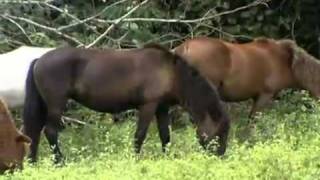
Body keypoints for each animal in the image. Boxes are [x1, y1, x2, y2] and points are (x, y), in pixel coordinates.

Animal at [23, 44, 231, 163]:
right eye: (221, 132)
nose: (221, 157)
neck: (171, 73)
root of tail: (38, 60)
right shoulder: (148, 106)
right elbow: (140, 135)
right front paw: (136, 159)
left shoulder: (161, 108)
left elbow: (165, 135)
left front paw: (167, 158)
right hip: (56, 105)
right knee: (50, 131)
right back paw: (59, 161)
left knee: (35, 132)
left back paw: (33, 162)